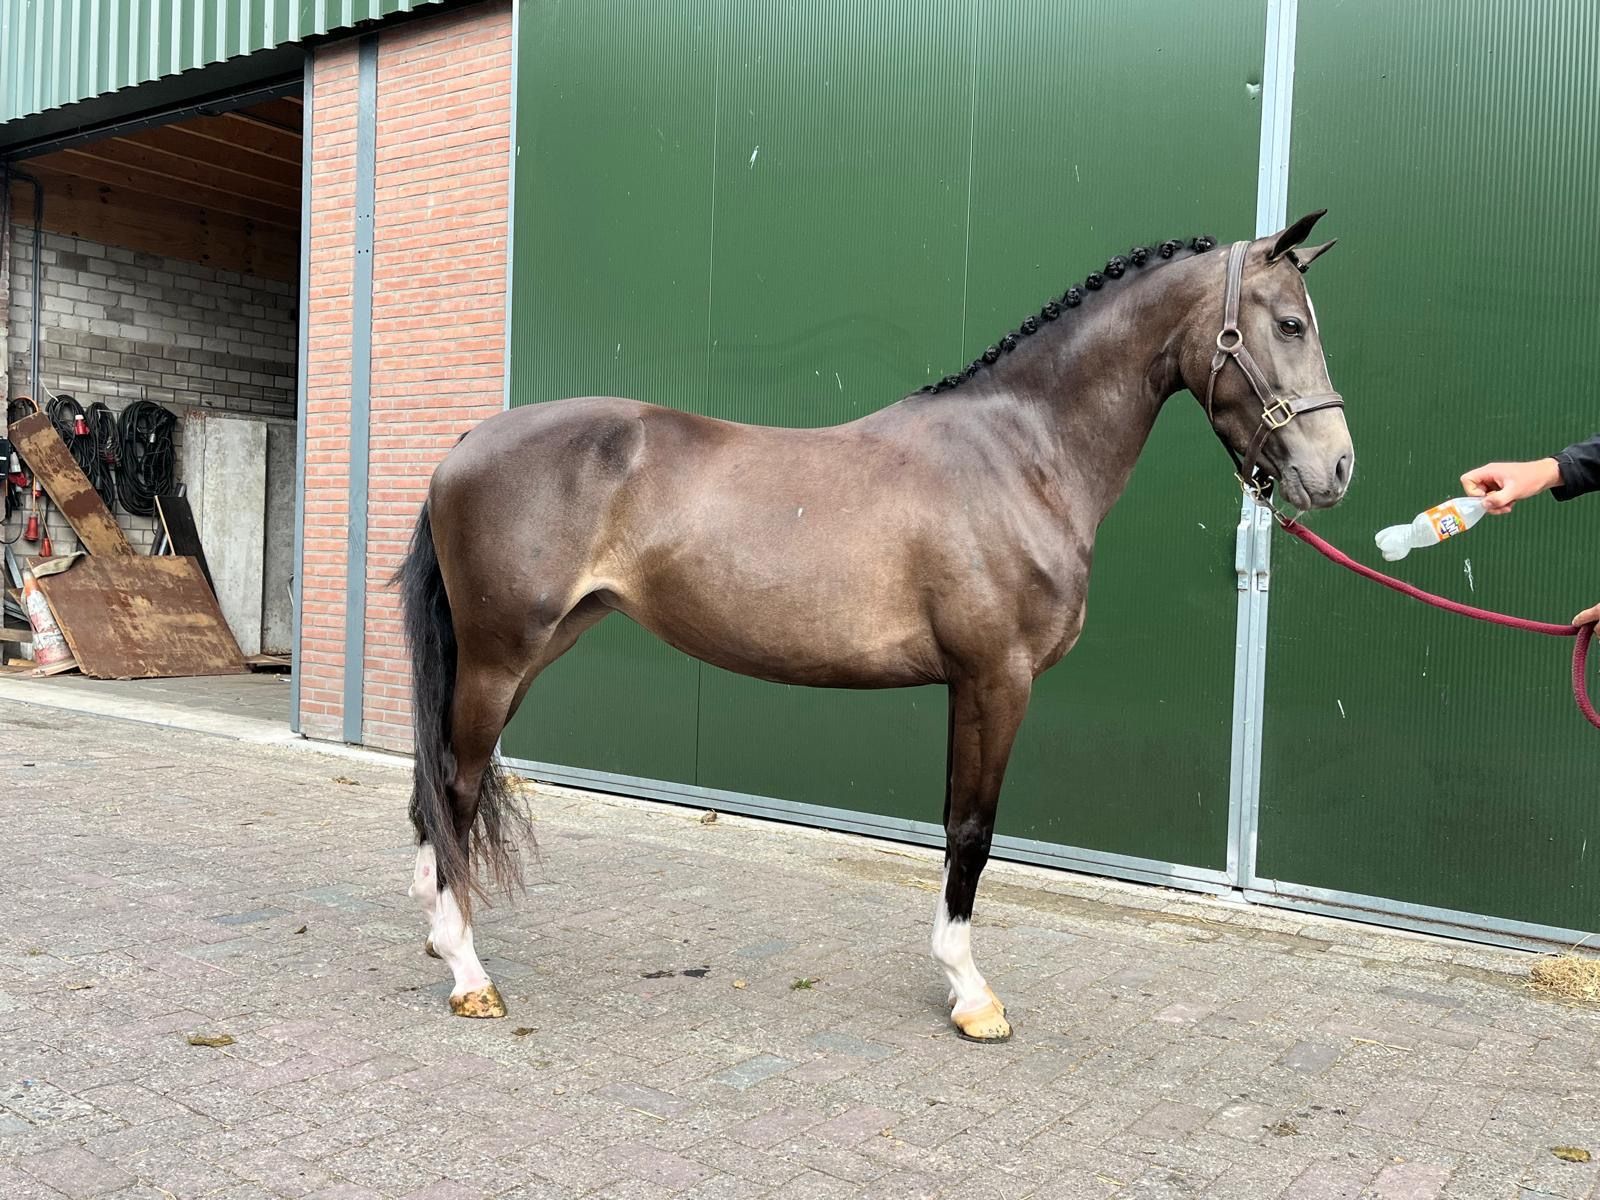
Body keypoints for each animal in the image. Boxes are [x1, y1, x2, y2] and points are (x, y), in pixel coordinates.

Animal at [396, 211, 1352, 1041]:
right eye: (1289, 324)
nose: (1335, 468)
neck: (1020, 456)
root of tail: (467, 443)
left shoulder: (970, 684)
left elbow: (956, 824)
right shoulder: (996, 677)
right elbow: (972, 830)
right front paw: (971, 993)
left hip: (532, 653)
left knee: (441, 784)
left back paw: (441, 934)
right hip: (499, 659)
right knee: (455, 784)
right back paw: (469, 972)